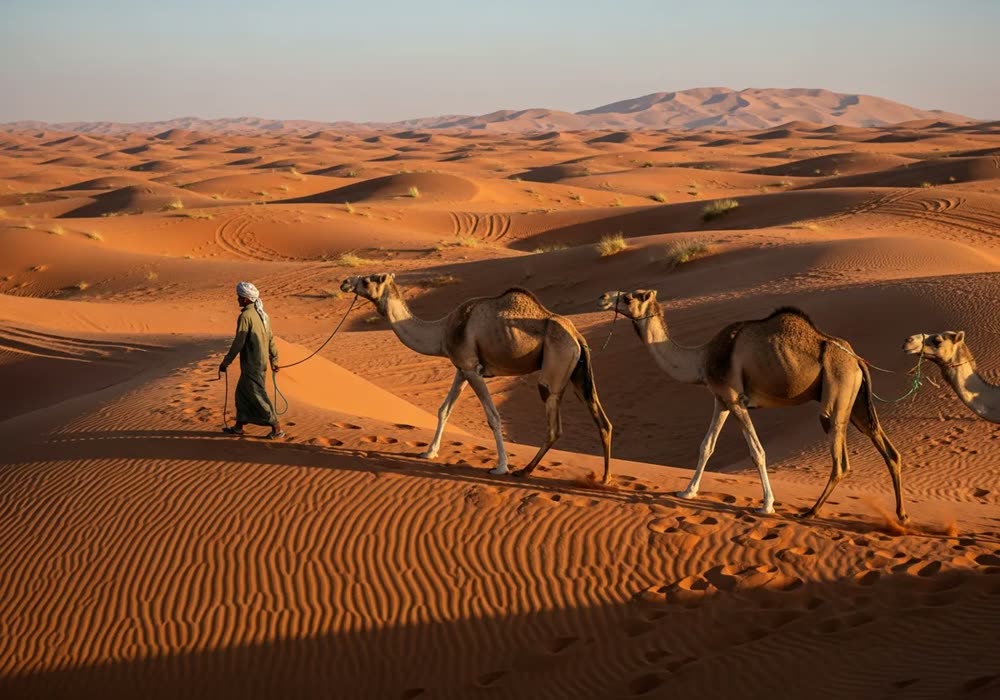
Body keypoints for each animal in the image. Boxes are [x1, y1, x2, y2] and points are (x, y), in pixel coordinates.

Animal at [341, 273, 613, 481]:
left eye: (368, 279)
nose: (345, 282)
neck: (442, 330)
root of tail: (577, 336)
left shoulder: (473, 369)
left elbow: (493, 416)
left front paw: (501, 466)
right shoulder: (461, 369)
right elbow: (444, 410)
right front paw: (429, 452)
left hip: (555, 367)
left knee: (554, 424)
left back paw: (524, 471)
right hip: (578, 374)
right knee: (603, 421)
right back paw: (604, 478)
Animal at [597, 289, 907, 522]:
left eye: (629, 297)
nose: (603, 297)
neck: (701, 358)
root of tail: (857, 360)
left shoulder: (736, 400)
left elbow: (757, 451)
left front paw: (766, 505)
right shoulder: (720, 399)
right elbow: (706, 446)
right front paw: (687, 492)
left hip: (837, 395)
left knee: (840, 460)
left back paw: (810, 511)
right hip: (856, 403)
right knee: (887, 449)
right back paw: (901, 516)